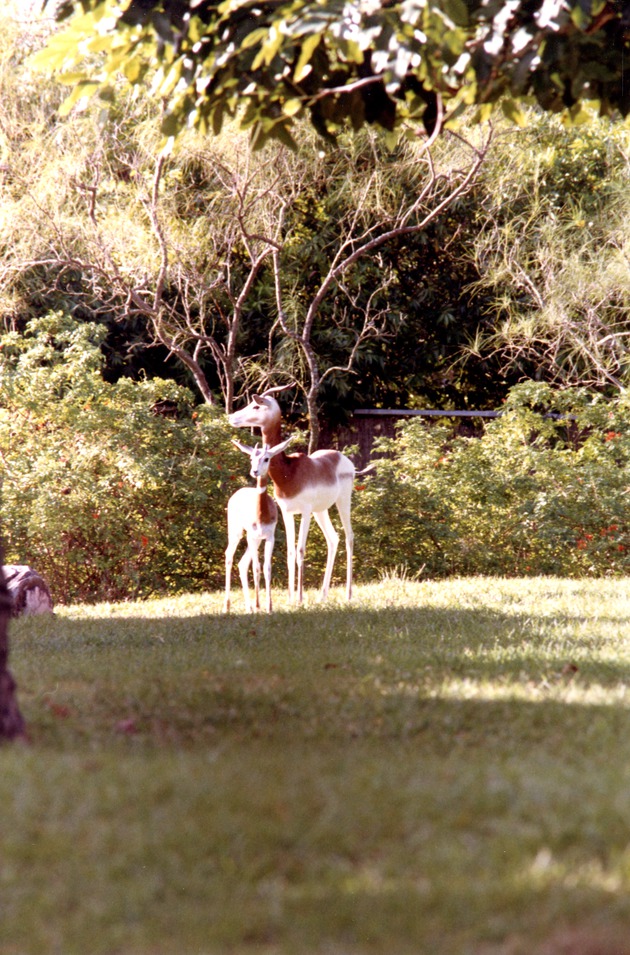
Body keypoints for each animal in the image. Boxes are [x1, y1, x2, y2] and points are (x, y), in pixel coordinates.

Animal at [223, 438, 292, 612]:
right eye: (251, 458)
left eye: (266, 458)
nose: (254, 471)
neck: (261, 514)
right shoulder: (251, 535)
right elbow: (256, 568)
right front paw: (258, 604)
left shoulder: (269, 537)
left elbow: (266, 568)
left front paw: (268, 606)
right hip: (237, 533)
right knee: (229, 556)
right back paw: (227, 606)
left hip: (256, 540)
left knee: (242, 564)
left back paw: (248, 607)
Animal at [230, 390, 358, 604]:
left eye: (256, 405)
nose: (232, 417)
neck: (288, 472)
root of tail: (341, 457)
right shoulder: (287, 512)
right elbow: (290, 552)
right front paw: (291, 598)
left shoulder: (305, 512)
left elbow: (300, 550)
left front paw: (299, 598)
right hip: (321, 511)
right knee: (333, 539)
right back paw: (322, 596)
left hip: (342, 501)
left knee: (349, 537)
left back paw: (348, 594)